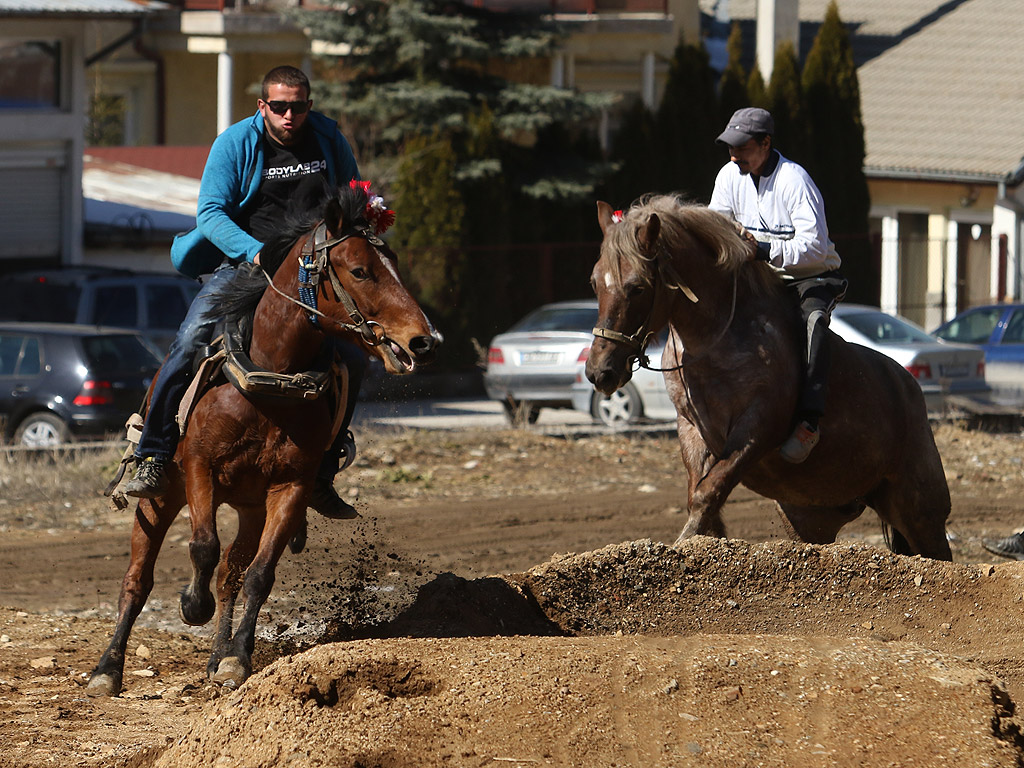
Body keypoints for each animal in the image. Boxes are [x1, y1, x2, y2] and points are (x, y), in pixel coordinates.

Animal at [87, 186, 436, 696]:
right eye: (359, 270)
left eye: (392, 262)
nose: (423, 340)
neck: (270, 382)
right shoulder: (200, 470)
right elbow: (203, 547)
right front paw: (191, 604)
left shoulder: (289, 488)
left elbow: (257, 575)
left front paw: (236, 659)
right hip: (161, 497)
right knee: (138, 579)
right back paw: (107, 669)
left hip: (250, 508)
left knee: (231, 574)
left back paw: (216, 657)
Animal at [585, 195, 950, 561]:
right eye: (594, 282)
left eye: (637, 287)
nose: (599, 370)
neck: (716, 339)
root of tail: (909, 387)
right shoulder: (690, 427)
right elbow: (701, 498)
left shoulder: (758, 427)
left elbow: (709, 493)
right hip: (812, 515)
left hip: (921, 511)